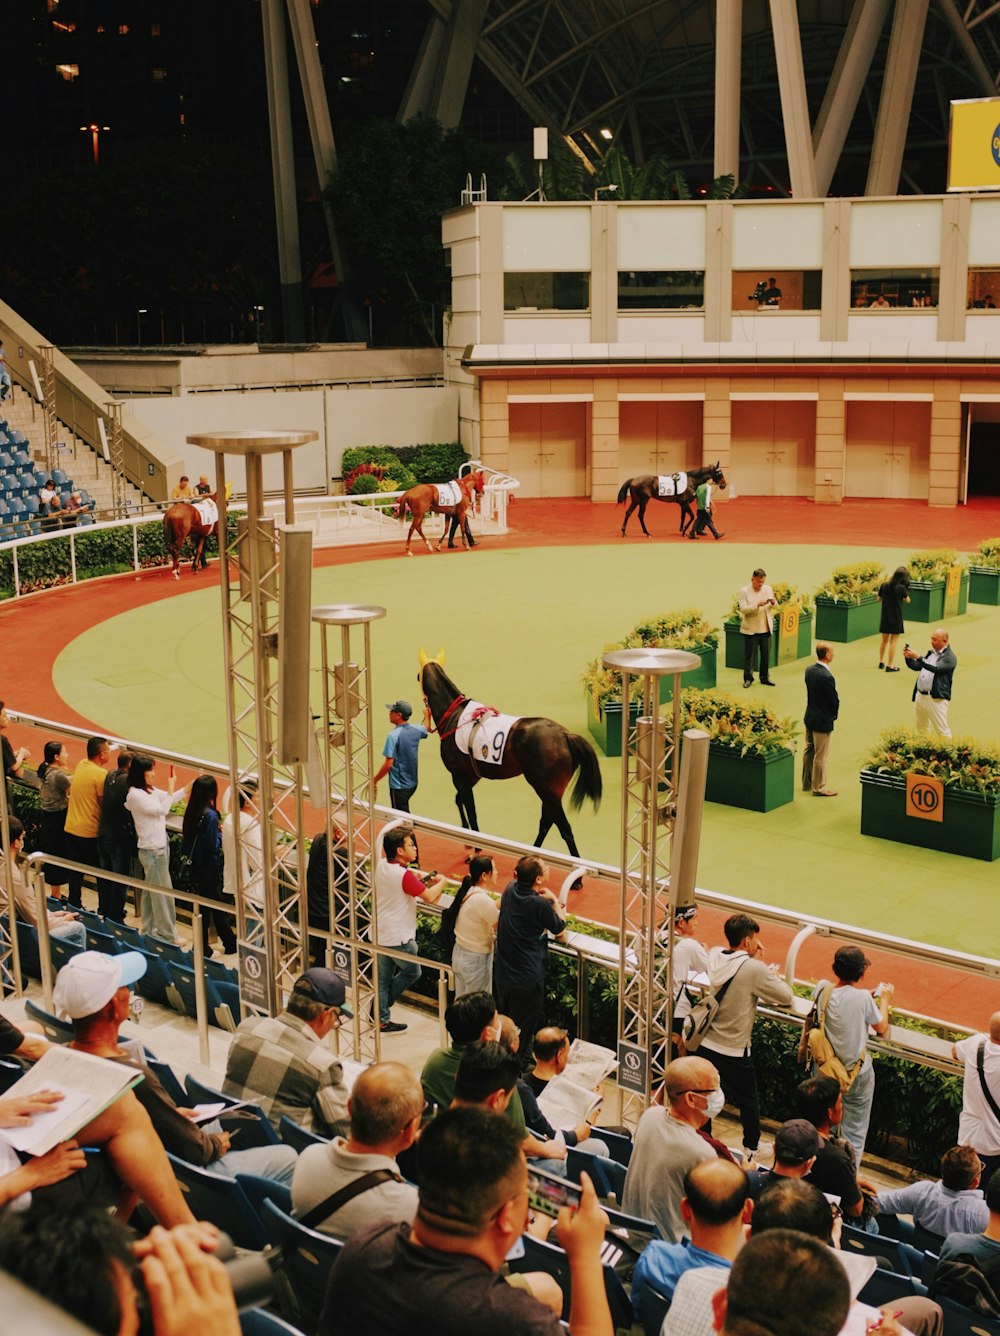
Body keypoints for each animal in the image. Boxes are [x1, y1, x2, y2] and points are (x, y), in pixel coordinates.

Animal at [419, 651, 600, 860]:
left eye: (418, 676)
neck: (454, 716)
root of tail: (565, 735)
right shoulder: (470, 776)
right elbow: (459, 800)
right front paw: (467, 840)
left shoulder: (458, 776)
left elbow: (470, 810)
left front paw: (475, 845)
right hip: (550, 792)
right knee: (546, 823)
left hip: (547, 790)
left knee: (564, 829)